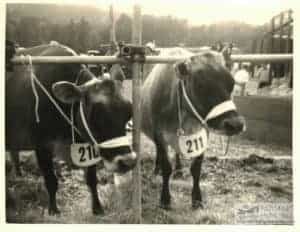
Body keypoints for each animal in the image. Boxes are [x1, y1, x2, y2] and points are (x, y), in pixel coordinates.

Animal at [6, 42, 136, 216]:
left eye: (128, 111)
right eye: (95, 114)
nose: (128, 162)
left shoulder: (88, 144)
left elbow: (92, 180)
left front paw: (97, 208)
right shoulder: (41, 145)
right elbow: (51, 180)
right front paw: (53, 210)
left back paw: (19, 175)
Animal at [142, 48, 245, 209]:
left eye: (232, 84)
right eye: (201, 85)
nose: (236, 124)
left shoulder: (203, 133)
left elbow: (196, 169)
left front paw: (197, 198)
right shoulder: (159, 134)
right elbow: (166, 167)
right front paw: (165, 199)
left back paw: (178, 169)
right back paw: (157, 168)